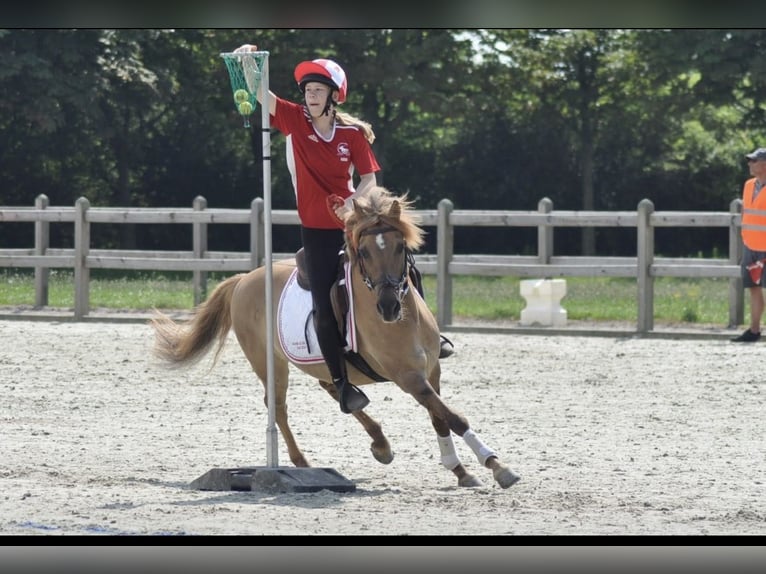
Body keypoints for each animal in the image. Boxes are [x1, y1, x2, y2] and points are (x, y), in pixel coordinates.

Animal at [150, 186, 520, 490]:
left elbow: (440, 416)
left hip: (321, 364)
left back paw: (380, 443)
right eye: (364, 252)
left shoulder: (431, 371)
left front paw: (460, 470)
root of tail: (244, 278)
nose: (388, 306)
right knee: (278, 407)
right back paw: (301, 463)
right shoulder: (408, 377)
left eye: (400, 247)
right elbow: (452, 416)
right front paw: (497, 466)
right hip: (268, 361)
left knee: (334, 388)